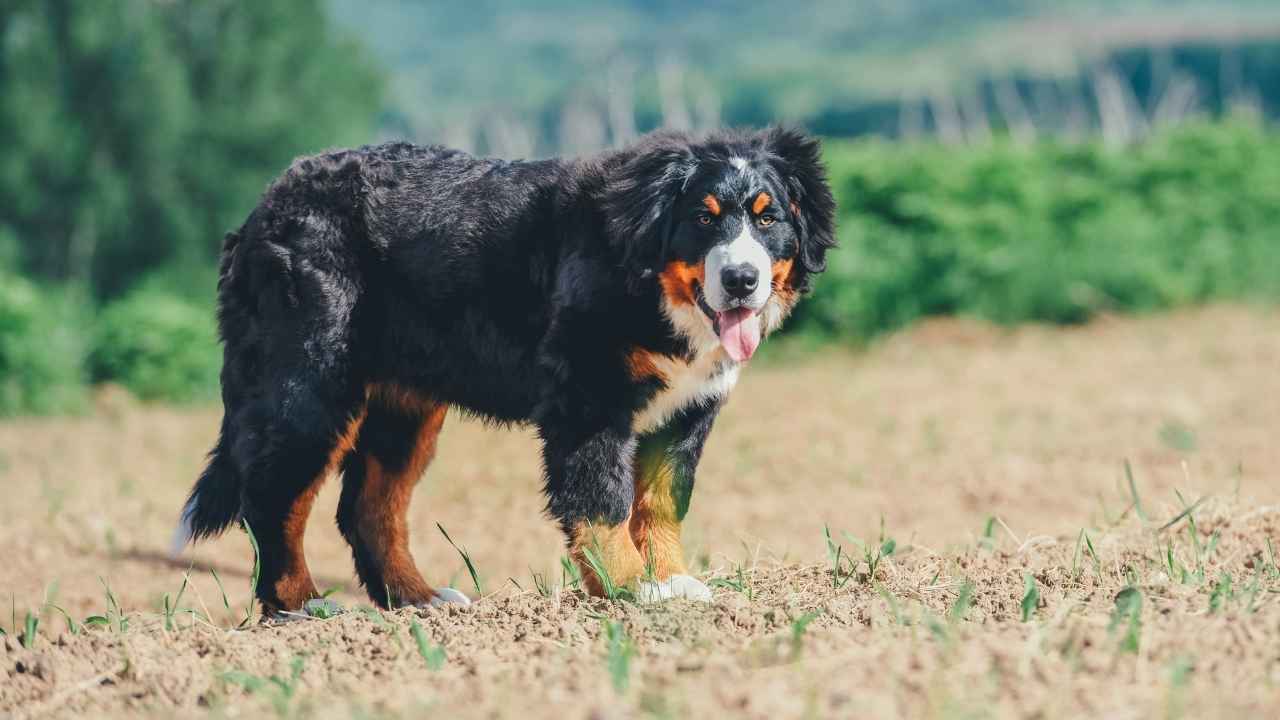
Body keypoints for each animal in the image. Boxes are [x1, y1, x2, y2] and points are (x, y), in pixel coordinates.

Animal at [177, 126, 839, 614]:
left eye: (768, 218)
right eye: (703, 218)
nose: (741, 279)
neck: (650, 283)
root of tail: (266, 207)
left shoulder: (688, 412)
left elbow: (661, 504)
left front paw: (673, 582)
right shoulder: (588, 397)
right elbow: (604, 503)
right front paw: (629, 588)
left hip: (404, 407)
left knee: (368, 507)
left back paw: (418, 599)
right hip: (310, 383)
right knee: (273, 496)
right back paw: (301, 606)